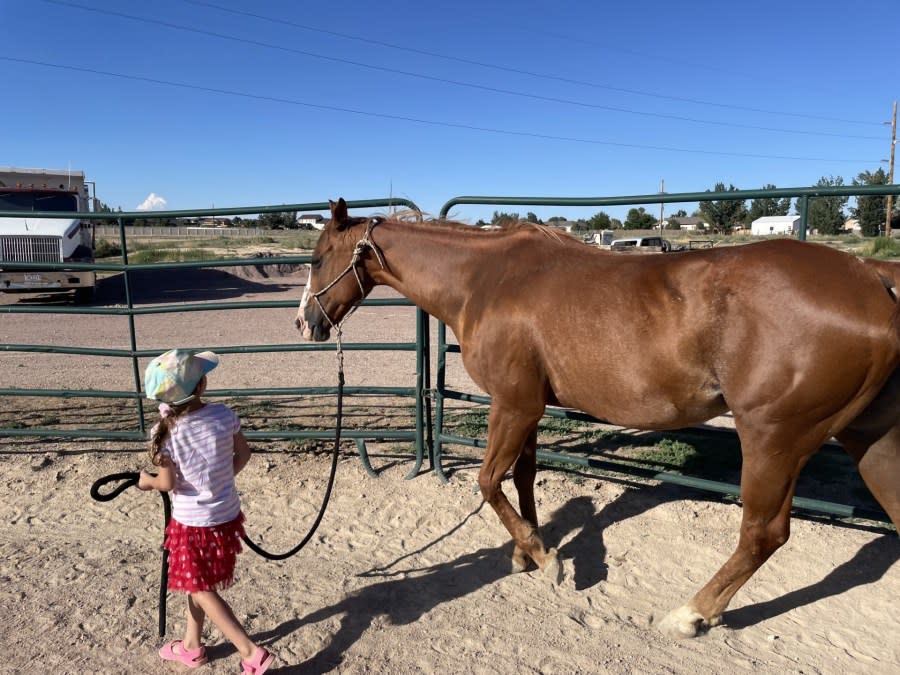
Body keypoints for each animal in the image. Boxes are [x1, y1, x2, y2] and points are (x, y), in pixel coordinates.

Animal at [296, 199, 900, 640]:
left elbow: (489, 481)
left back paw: (692, 614)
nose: (306, 323)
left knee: (763, 533)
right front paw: (527, 551)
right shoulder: (530, 406)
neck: (485, 279)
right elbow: (522, 477)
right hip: (870, 440)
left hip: (774, 438)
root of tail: (871, 277)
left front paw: (547, 559)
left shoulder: (514, 404)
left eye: (318, 258)